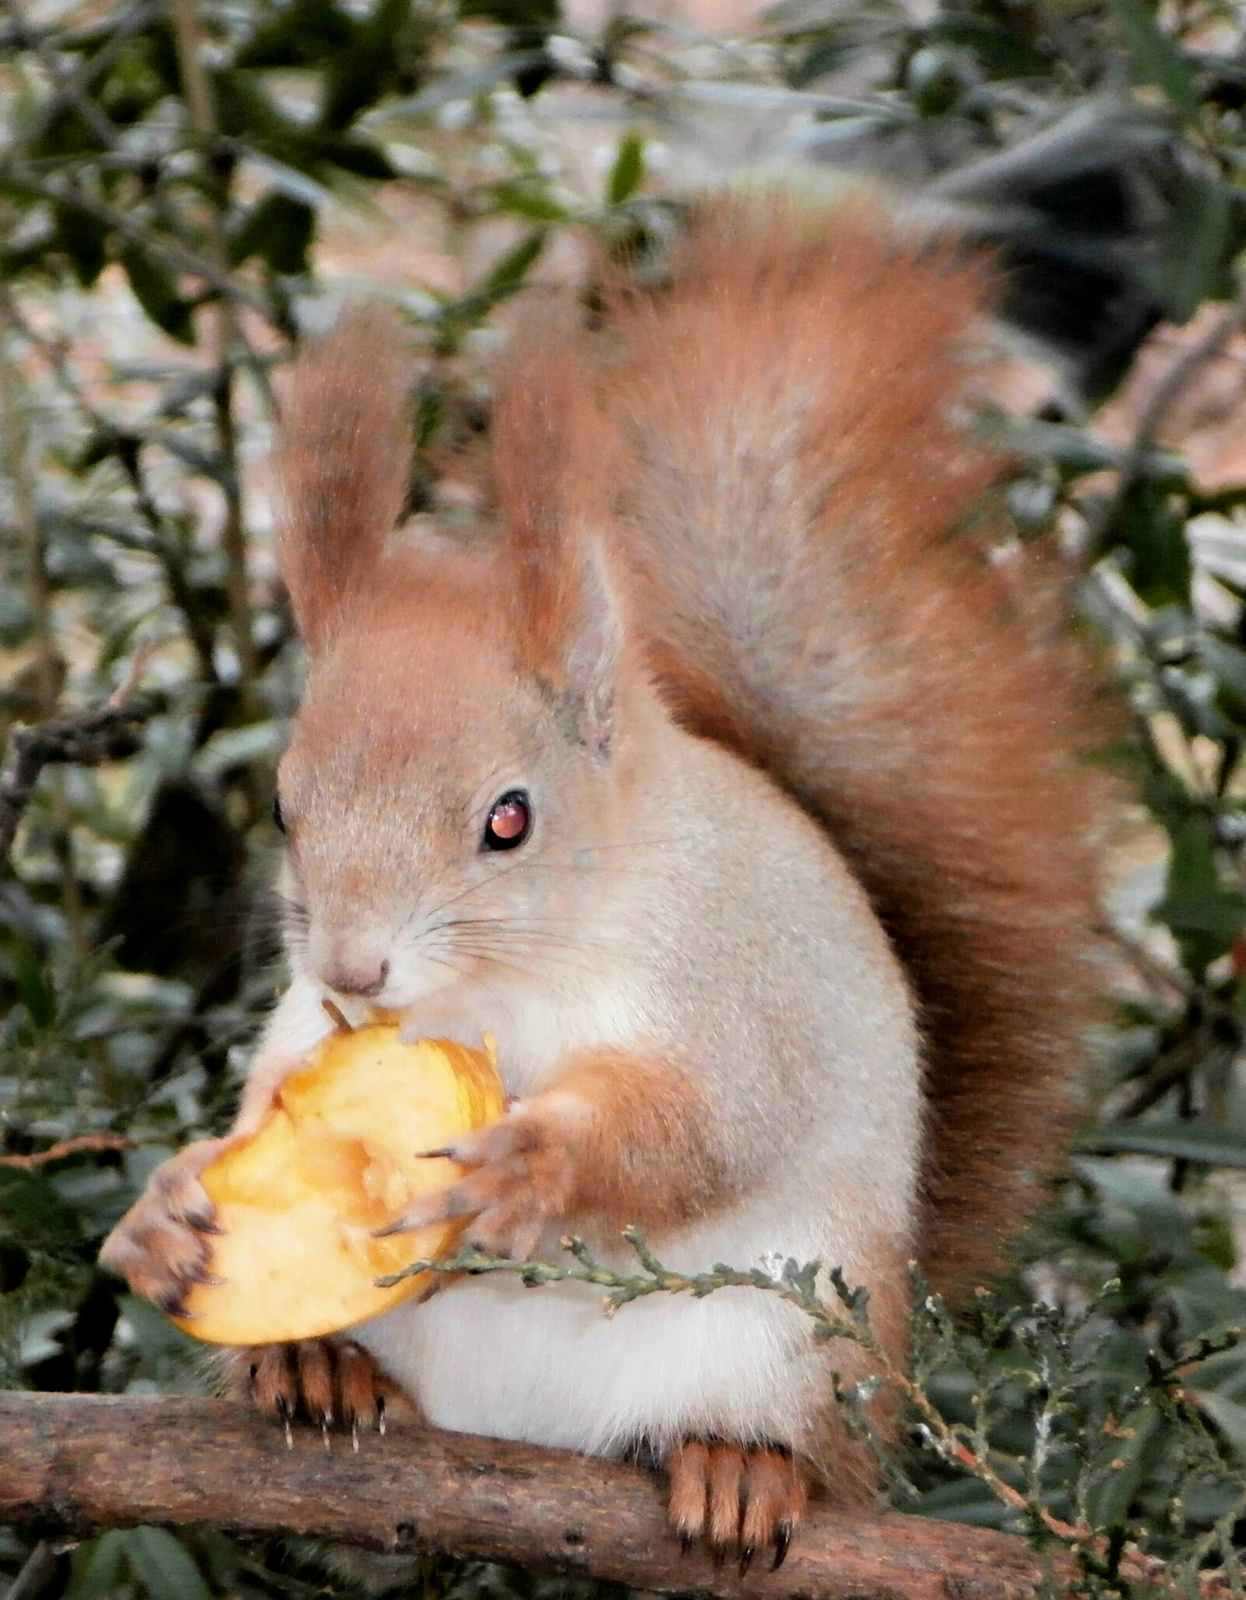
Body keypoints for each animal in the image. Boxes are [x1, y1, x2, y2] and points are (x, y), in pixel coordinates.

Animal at [99, 187, 1113, 1561]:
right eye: (282, 803)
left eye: (508, 818)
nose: (356, 967)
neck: (506, 978)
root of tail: (526, 1431)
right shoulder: (306, 1022)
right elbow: (269, 1093)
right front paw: (163, 1209)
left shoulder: (735, 989)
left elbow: (701, 1123)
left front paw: (530, 1164)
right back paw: (312, 1366)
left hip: (783, 1335)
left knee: (784, 1430)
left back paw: (739, 1467)